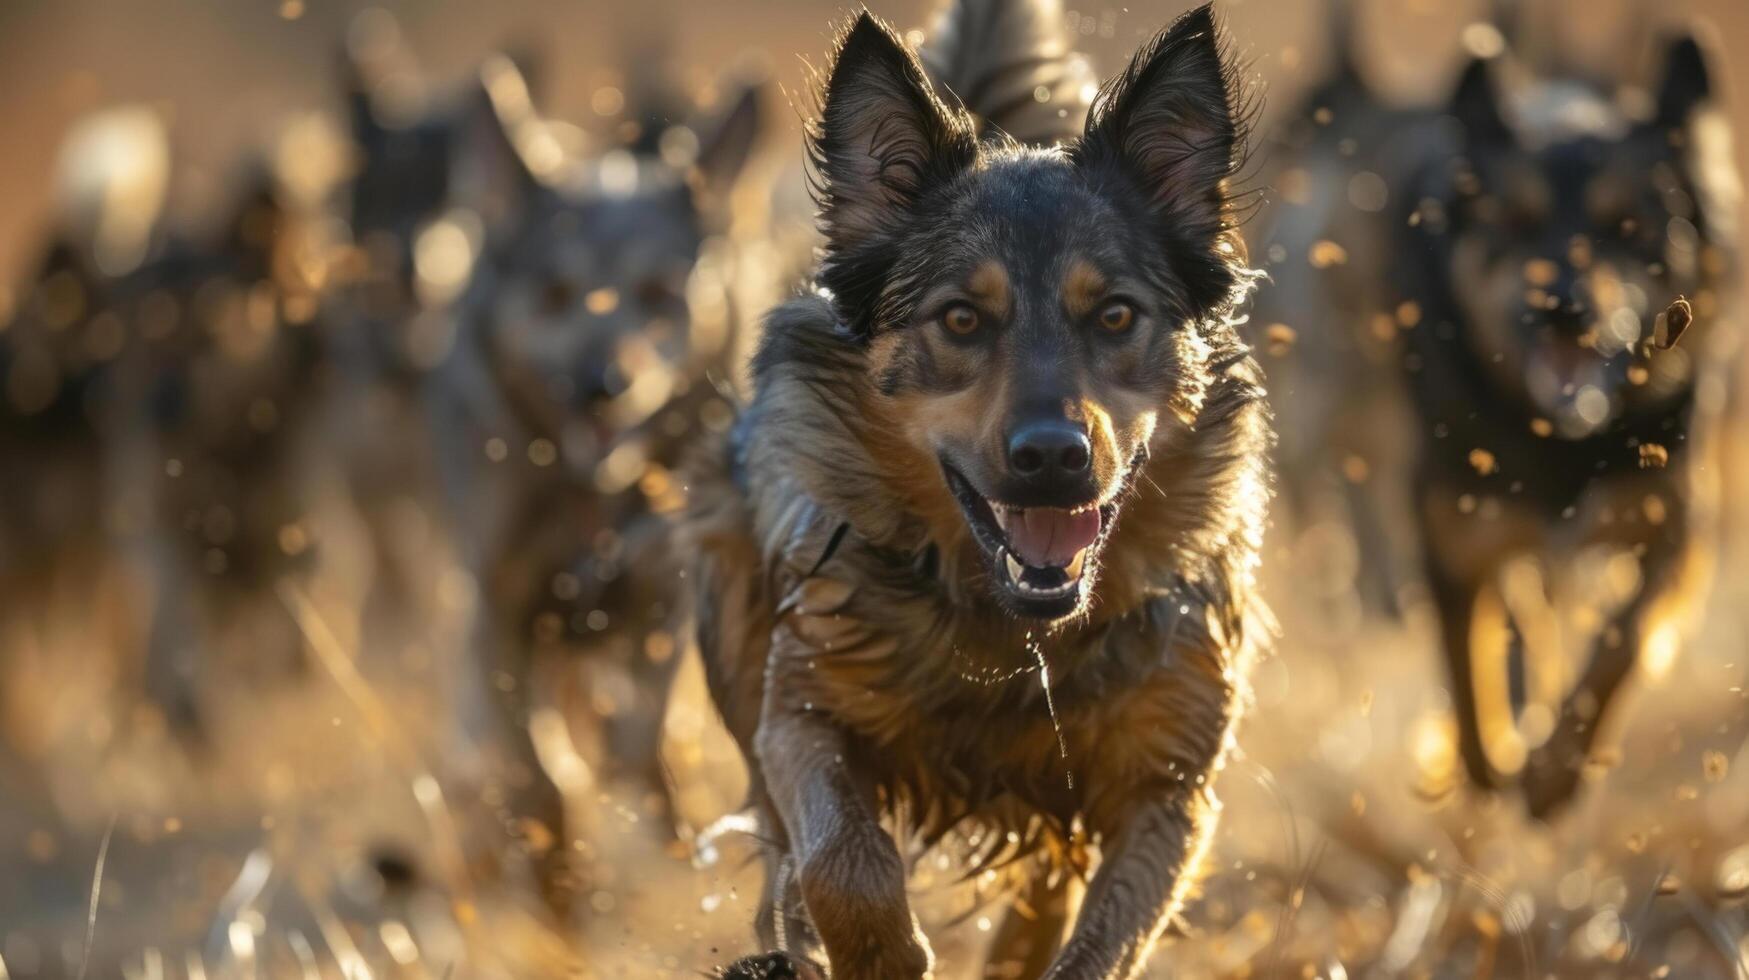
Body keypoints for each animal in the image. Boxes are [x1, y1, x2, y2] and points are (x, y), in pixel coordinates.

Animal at [1392, 38, 1735, 815]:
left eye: (1627, 226)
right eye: (1515, 223)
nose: (1562, 307)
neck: (1562, 437)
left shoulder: (1672, 526)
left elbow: (1618, 644)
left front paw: (1554, 771)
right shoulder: (1454, 533)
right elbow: (1469, 667)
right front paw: (1491, 759)